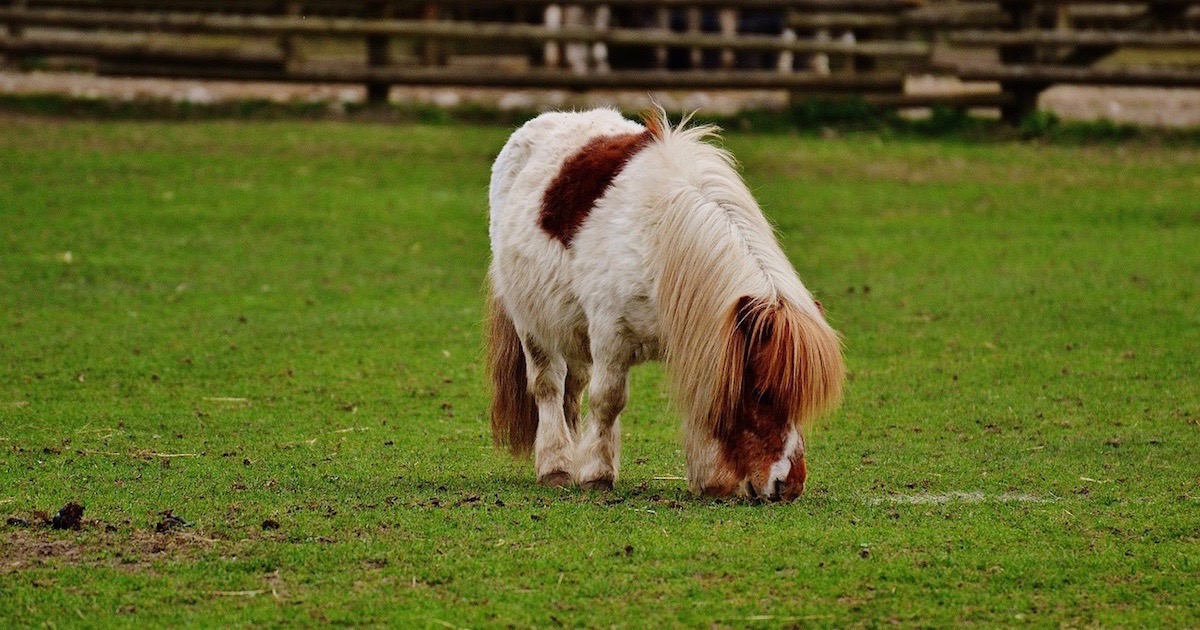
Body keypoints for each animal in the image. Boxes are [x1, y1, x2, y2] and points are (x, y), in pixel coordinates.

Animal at [486, 108, 843, 501]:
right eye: (763, 393)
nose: (789, 486)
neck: (660, 236)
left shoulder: (700, 338)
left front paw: (710, 481)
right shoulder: (610, 334)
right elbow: (608, 399)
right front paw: (597, 473)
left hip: (570, 326)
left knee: (572, 387)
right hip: (531, 322)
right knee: (549, 384)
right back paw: (556, 465)